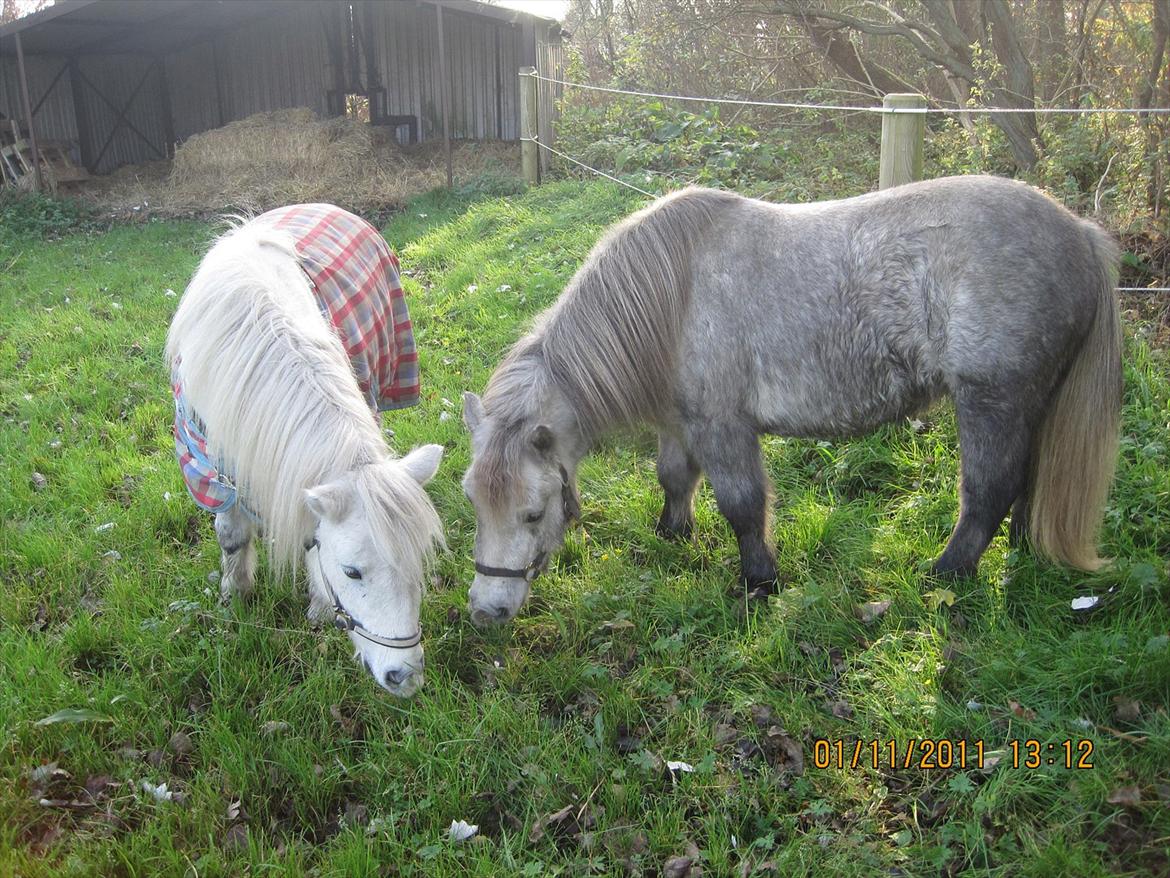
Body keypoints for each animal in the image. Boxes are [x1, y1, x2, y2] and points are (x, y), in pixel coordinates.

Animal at [162, 202, 439, 697]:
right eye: (351, 572)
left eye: (418, 561)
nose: (404, 677)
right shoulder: (208, 470)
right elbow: (231, 535)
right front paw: (235, 595)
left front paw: (316, 608)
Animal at [458, 175, 1123, 627]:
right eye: (474, 506)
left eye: (533, 513)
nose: (487, 612)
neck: (672, 300)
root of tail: (1083, 237)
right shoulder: (680, 421)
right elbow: (673, 477)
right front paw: (673, 535)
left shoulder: (723, 428)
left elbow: (743, 506)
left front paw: (759, 582)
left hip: (991, 401)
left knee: (988, 492)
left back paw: (945, 576)